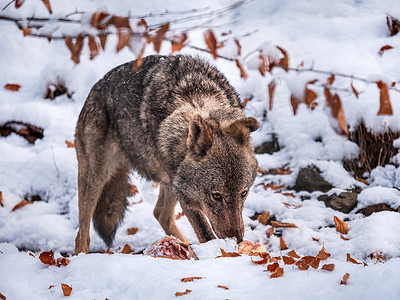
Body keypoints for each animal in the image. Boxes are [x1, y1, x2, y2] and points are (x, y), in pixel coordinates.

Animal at [74, 54, 260, 253]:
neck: (197, 101)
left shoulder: (179, 184)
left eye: (243, 193)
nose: (238, 239)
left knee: (160, 214)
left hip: (171, 181)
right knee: (81, 235)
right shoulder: (185, 196)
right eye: (216, 196)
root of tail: (96, 87)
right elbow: (206, 234)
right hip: (96, 179)